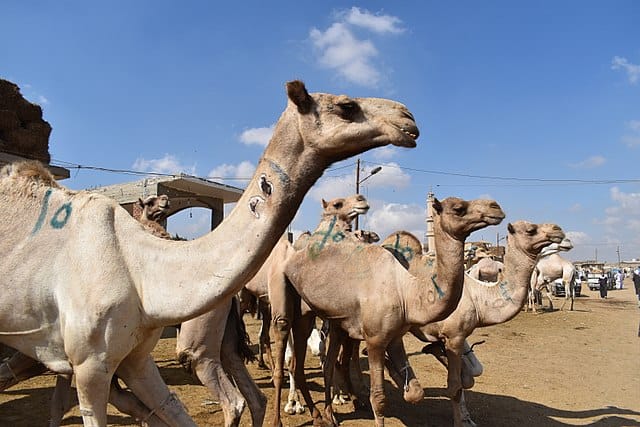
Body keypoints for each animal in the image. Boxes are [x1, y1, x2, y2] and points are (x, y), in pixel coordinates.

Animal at [269, 196, 505, 426]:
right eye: (458, 208)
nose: (496, 206)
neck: (407, 293)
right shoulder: (375, 339)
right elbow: (379, 398)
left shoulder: (394, 335)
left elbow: (414, 393)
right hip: (294, 303)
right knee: (293, 354)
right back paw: (296, 416)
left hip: (335, 321)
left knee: (326, 364)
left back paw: (327, 416)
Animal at [406, 221, 565, 426]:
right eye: (531, 229)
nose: (559, 231)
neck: (477, 295)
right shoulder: (454, 335)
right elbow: (455, 386)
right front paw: (459, 421)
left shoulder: (459, 334)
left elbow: (471, 375)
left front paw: (467, 419)